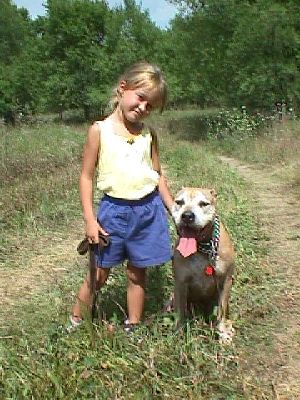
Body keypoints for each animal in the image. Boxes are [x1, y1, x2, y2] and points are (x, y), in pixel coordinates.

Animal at [171, 188, 234, 344]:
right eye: (179, 202)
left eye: (204, 204)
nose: (187, 216)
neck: (203, 247)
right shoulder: (180, 283)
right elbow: (180, 312)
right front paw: (179, 332)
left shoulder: (226, 280)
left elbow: (222, 310)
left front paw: (223, 333)